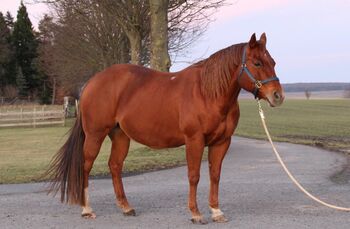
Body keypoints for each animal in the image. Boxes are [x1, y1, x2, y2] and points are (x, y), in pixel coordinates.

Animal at [47, 33, 284, 223]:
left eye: (272, 61)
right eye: (257, 63)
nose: (278, 96)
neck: (207, 93)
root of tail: (91, 83)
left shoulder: (222, 142)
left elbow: (215, 175)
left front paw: (216, 212)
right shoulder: (194, 140)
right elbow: (194, 175)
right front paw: (196, 214)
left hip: (121, 136)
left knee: (115, 166)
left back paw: (126, 207)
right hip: (95, 135)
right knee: (86, 166)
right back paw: (87, 209)